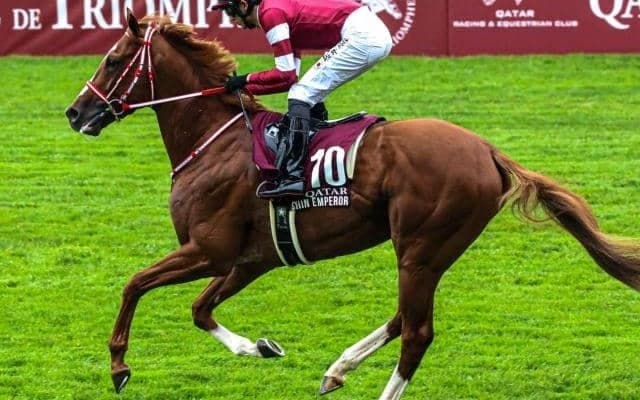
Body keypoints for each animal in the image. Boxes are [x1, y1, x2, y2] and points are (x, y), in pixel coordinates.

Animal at [65, 11, 640, 399]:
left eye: (113, 60)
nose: (75, 113)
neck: (214, 141)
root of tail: (488, 150)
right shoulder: (251, 258)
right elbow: (200, 309)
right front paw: (260, 347)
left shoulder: (209, 249)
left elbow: (134, 284)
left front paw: (118, 367)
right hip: (432, 251)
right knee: (404, 318)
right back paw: (337, 368)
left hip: (419, 247)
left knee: (418, 332)